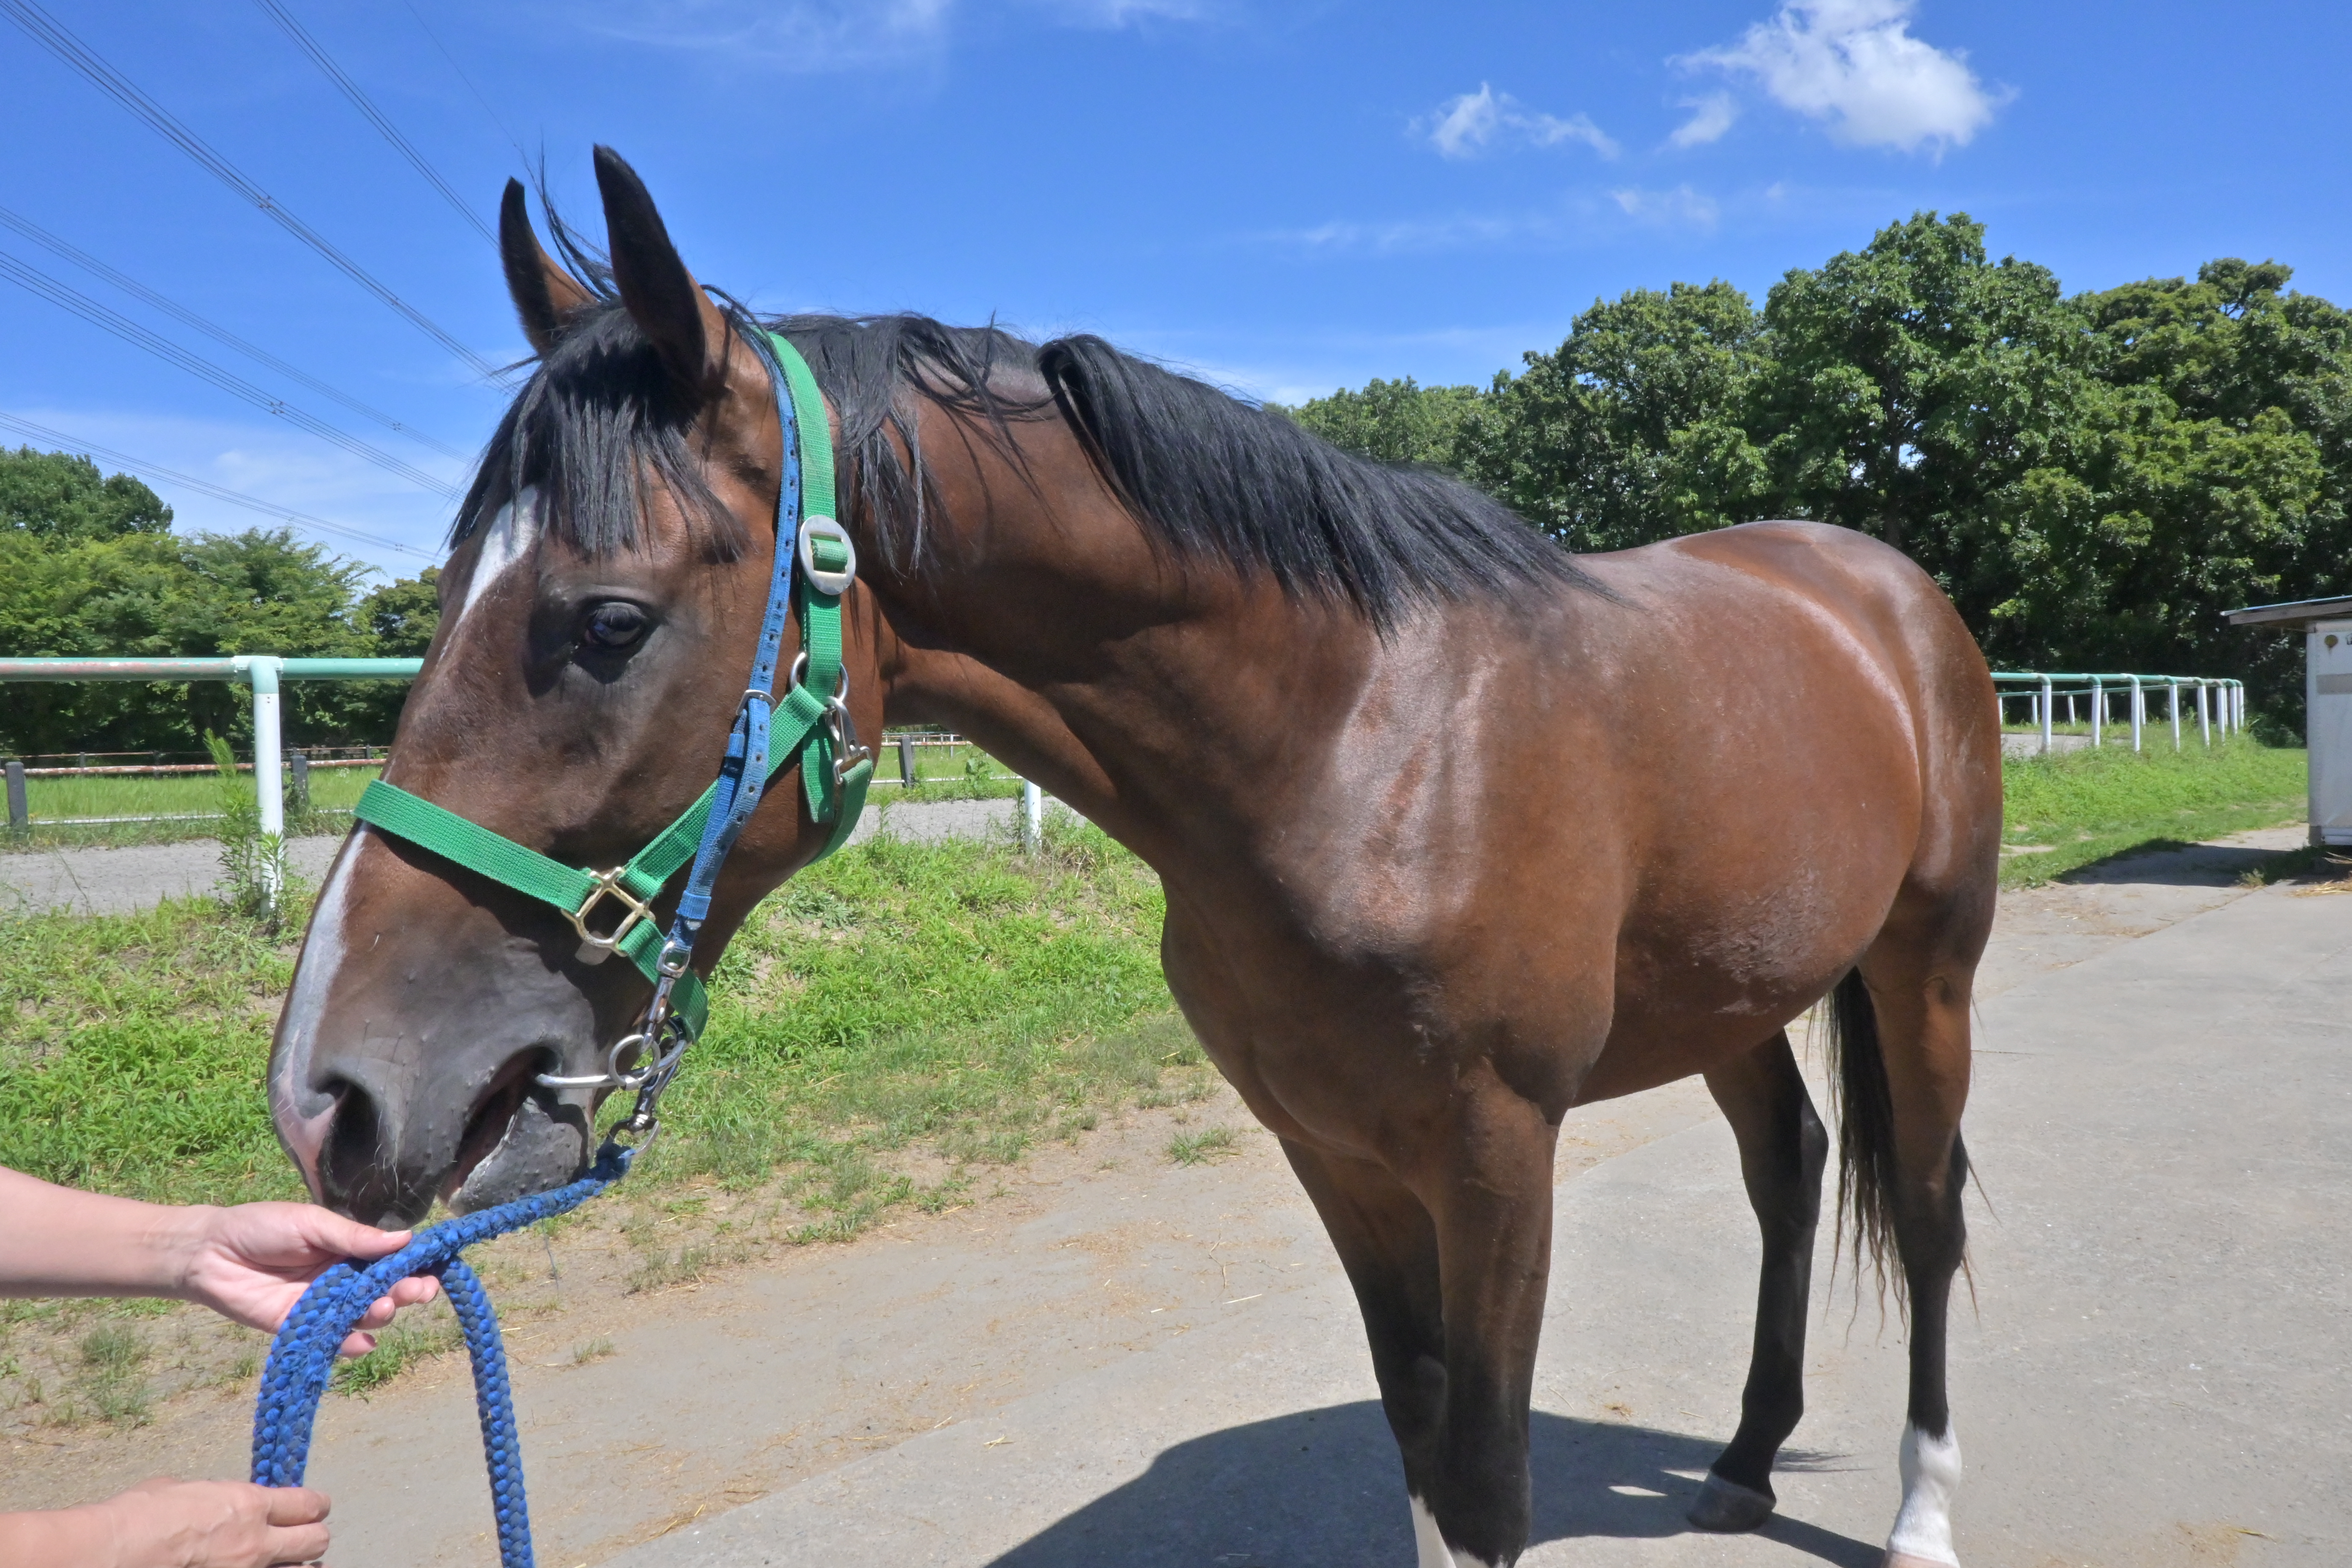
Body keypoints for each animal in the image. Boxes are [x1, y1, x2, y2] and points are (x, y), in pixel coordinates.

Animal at [269, 147, 1998, 1568]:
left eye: (608, 622)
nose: (326, 1093)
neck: (1359, 741)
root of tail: (1883, 590)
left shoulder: (1496, 1154)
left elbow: (1488, 1475)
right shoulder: (1334, 1149)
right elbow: (1422, 1435)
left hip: (1924, 964)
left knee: (1921, 1210)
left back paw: (1920, 1513)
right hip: (1738, 993)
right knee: (1789, 1173)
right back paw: (1746, 1463)